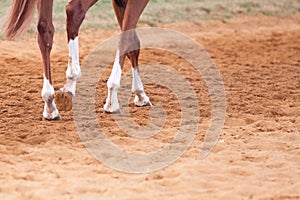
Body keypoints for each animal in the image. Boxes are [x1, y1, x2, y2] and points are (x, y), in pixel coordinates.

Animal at [3, 0, 151, 120]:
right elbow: (129, 40)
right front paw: (132, 93)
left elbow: (133, 45)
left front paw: (140, 94)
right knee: (75, 11)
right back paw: (111, 100)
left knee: (45, 28)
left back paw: (51, 102)